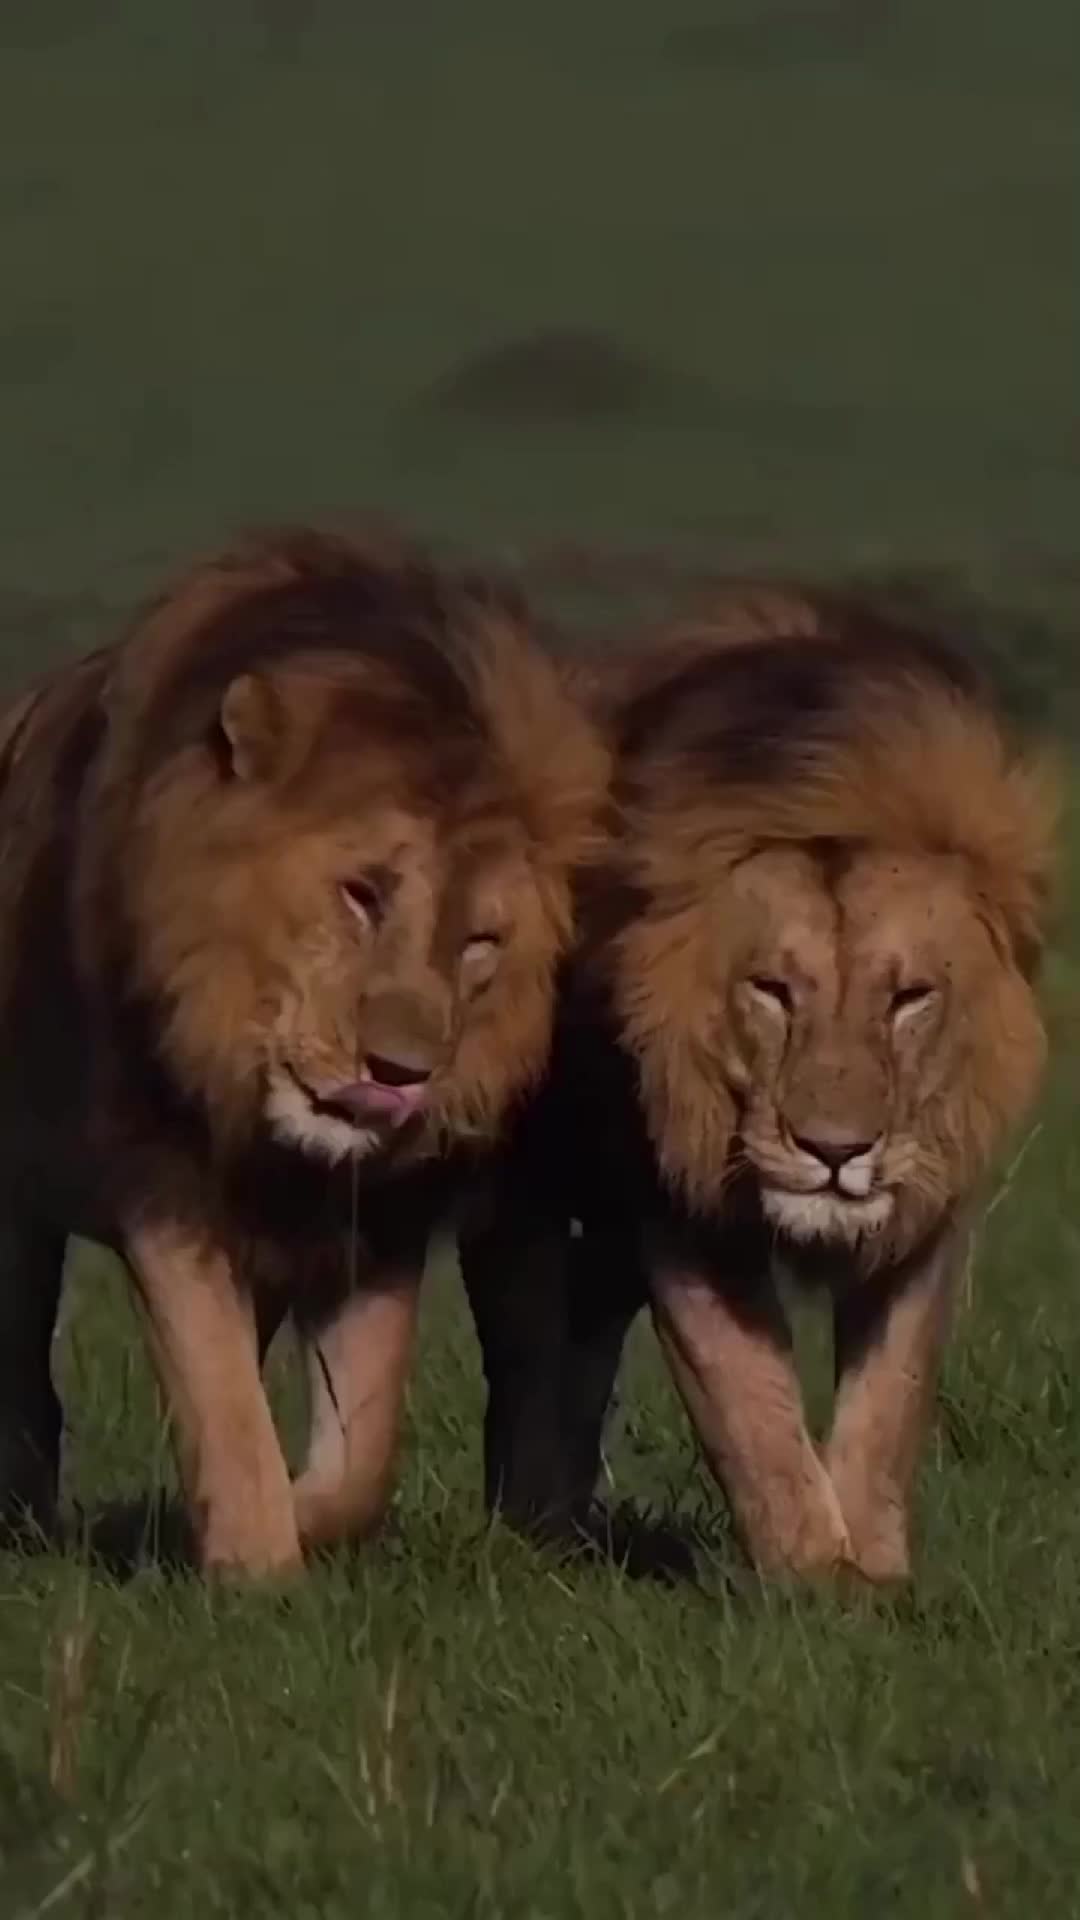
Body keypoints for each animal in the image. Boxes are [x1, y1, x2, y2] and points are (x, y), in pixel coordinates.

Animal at [0, 526, 608, 1576]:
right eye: (361, 893)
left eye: (480, 942)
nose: (400, 1074)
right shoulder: (164, 1189)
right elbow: (222, 1398)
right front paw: (256, 1563)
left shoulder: (385, 1222)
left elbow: (362, 1449)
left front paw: (302, 1520)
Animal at [461, 591, 1058, 1582]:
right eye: (772, 990)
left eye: (909, 998)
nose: (835, 1152)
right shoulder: (679, 1198)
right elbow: (749, 1401)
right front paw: (811, 1575)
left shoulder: (927, 1205)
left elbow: (890, 1405)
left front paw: (878, 1578)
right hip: (525, 1181)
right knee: (526, 1341)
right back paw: (530, 1524)